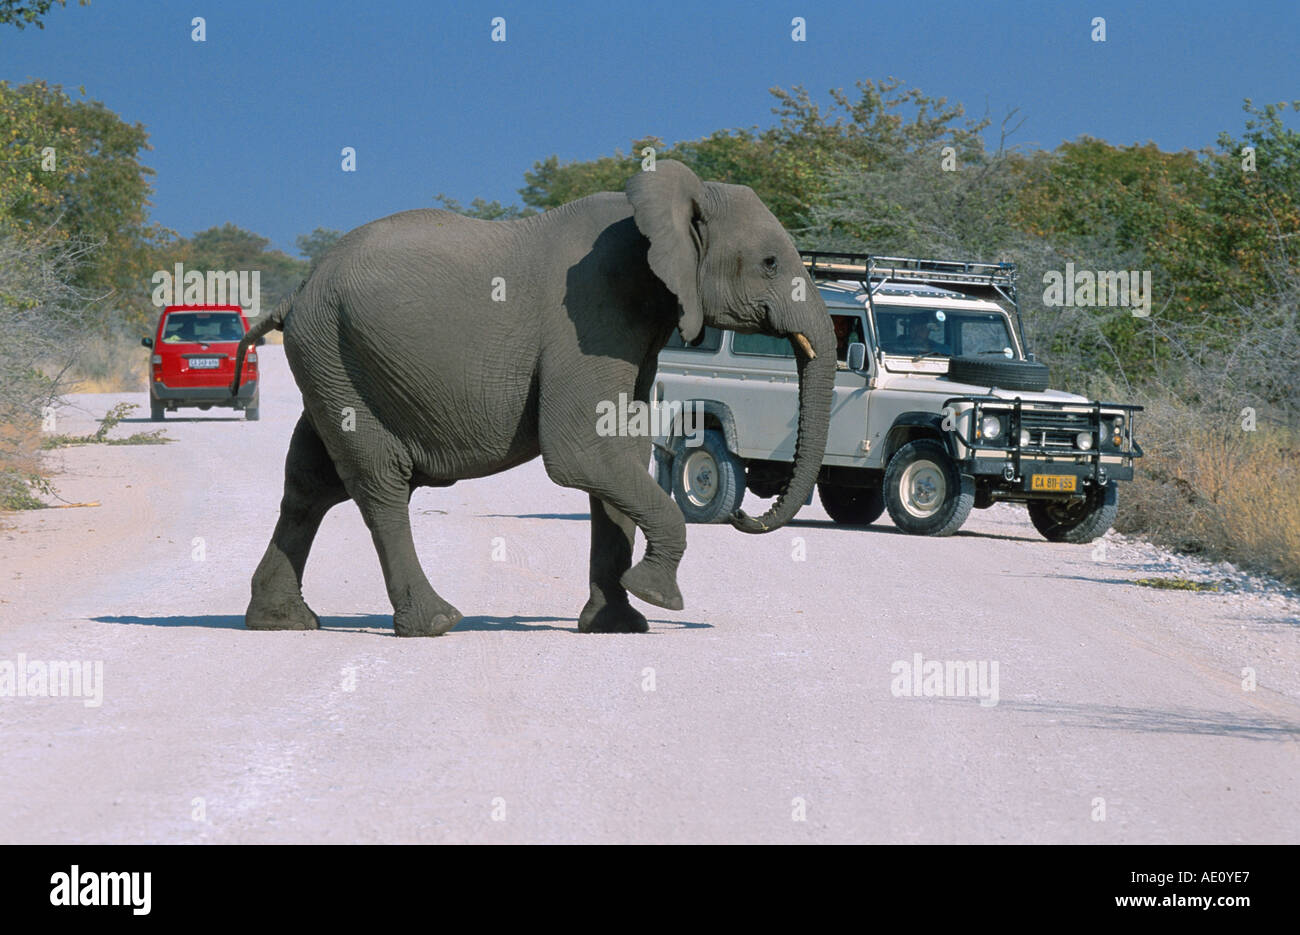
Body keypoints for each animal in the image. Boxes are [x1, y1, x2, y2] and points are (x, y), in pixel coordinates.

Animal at [231, 159, 832, 637]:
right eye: (771, 263)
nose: (745, 516)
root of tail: (296, 291)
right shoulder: (592, 311)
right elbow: (582, 453)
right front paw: (657, 596)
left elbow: (623, 451)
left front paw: (619, 626)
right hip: (335, 349)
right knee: (378, 482)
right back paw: (434, 624)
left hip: (332, 358)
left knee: (310, 483)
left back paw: (282, 622)